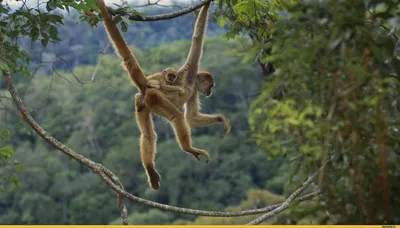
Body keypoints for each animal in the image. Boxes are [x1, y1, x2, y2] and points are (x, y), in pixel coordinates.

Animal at [94, 0, 231, 190]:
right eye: (211, 85)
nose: (210, 92)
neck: (192, 83)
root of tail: (146, 86)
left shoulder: (194, 91)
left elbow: (192, 117)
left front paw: (220, 119)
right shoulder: (190, 71)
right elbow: (197, 37)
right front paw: (206, 6)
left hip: (142, 103)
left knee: (148, 135)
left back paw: (151, 170)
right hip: (155, 98)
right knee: (177, 116)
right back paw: (189, 149)